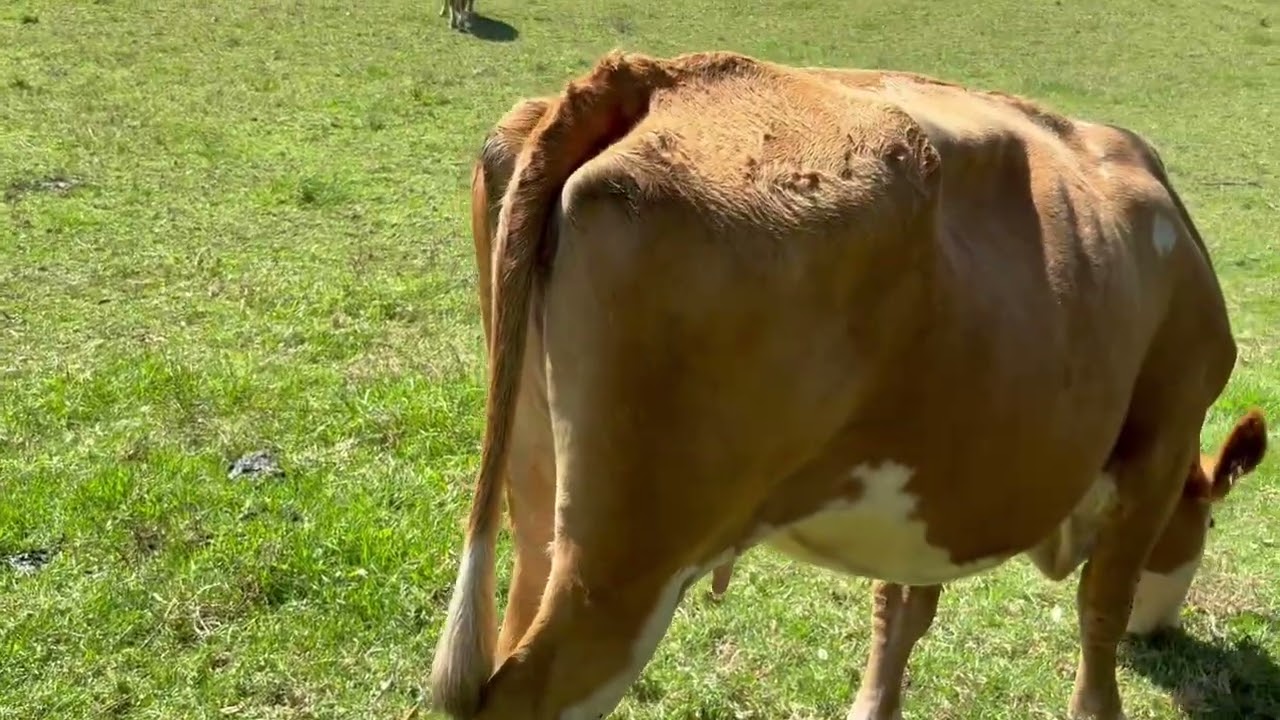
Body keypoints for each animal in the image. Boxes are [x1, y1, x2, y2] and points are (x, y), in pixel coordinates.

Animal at [429, 49, 1250, 720]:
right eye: (1209, 523)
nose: (1161, 639)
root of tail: (653, 76)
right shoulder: (1164, 436)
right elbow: (1102, 608)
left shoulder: (940, 485)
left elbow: (901, 608)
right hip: (629, 559)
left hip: (539, 500)